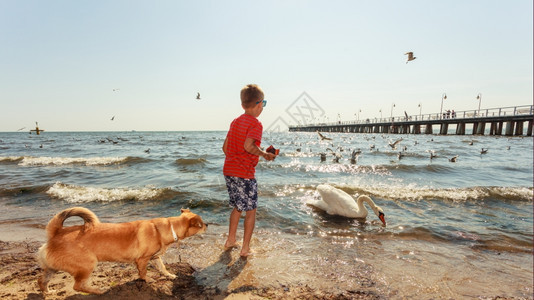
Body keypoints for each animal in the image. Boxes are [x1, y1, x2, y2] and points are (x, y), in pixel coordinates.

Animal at [37, 207, 207, 294]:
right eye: (201, 224)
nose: (208, 225)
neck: (168, 228)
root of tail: (57, 232)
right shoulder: (143, 260)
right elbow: (143, 273)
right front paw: (147, 280)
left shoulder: (155, 258)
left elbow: (163, 267)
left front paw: (170, 275)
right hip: (88, 264)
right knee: (77, 286)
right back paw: (98, 290)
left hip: (52, 267)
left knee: (42, 280)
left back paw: (47, 292)